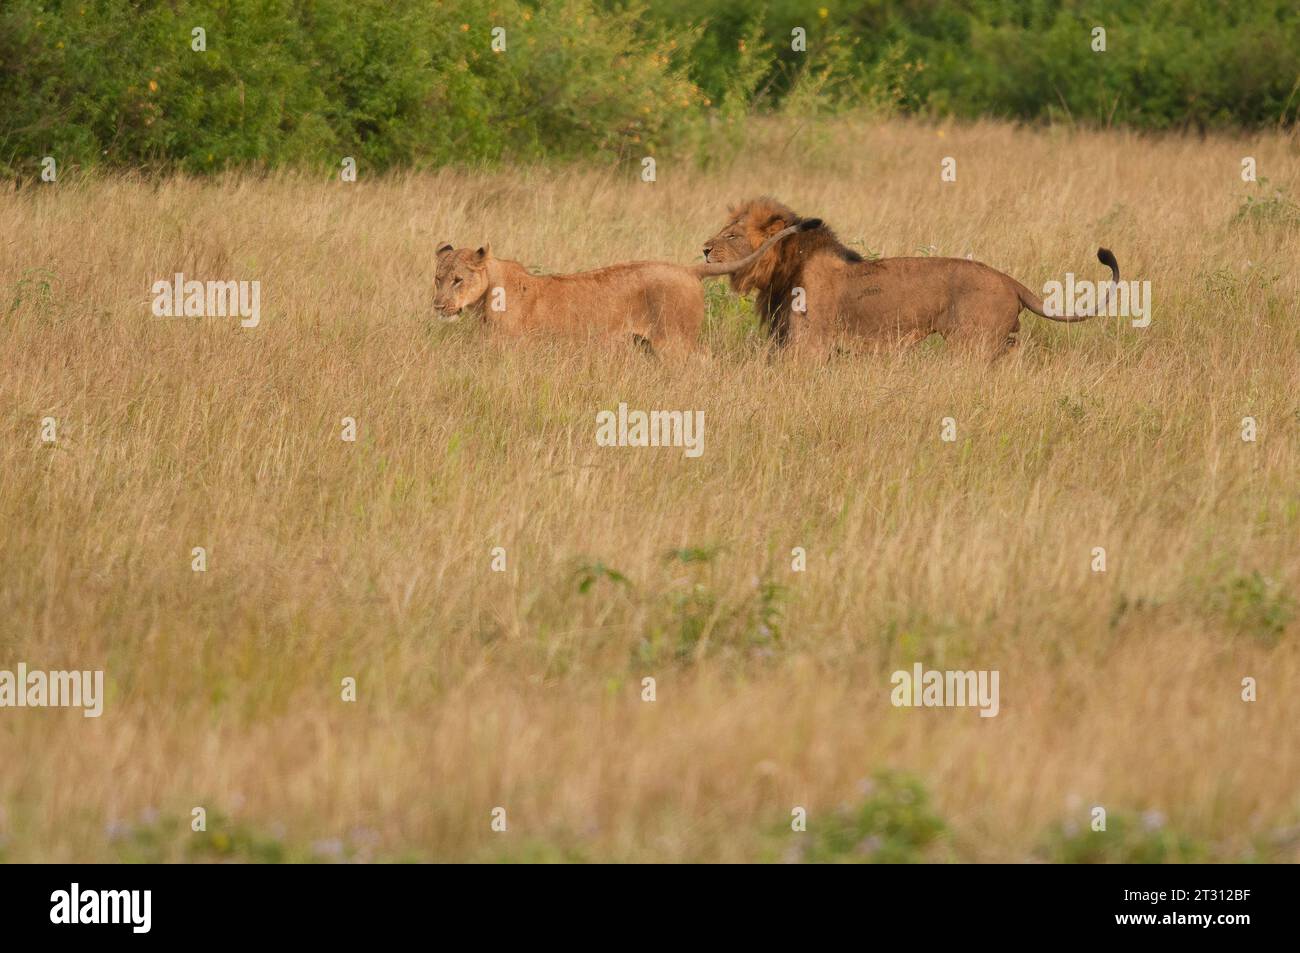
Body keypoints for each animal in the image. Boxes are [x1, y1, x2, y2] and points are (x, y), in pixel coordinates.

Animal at [702, 197, 1118, 356]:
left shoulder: (809, 344)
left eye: (732, 236)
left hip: (973, 345)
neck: (781, 268)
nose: (704, 249)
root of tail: (1010, 280)